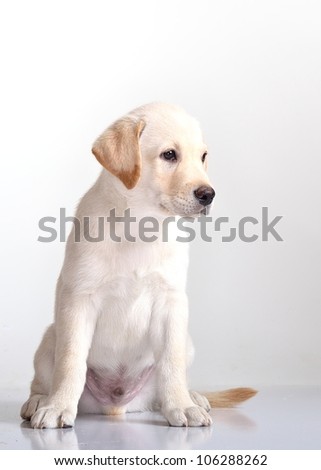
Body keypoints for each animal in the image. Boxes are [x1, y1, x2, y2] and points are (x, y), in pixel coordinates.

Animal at [20, 103, 255, 430]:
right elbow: (70, 362)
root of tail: (116, 406)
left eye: (203, 156)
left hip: (186, 342)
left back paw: (193, 398)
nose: (208, 194)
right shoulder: (78, 300)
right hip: (48, 338)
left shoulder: (171, 304)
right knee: (42, 379)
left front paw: (182, 406)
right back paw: (39, 401)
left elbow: (171, 363)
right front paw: (57, 407)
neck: (142, 227)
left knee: (170, 382)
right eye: (169, 155)